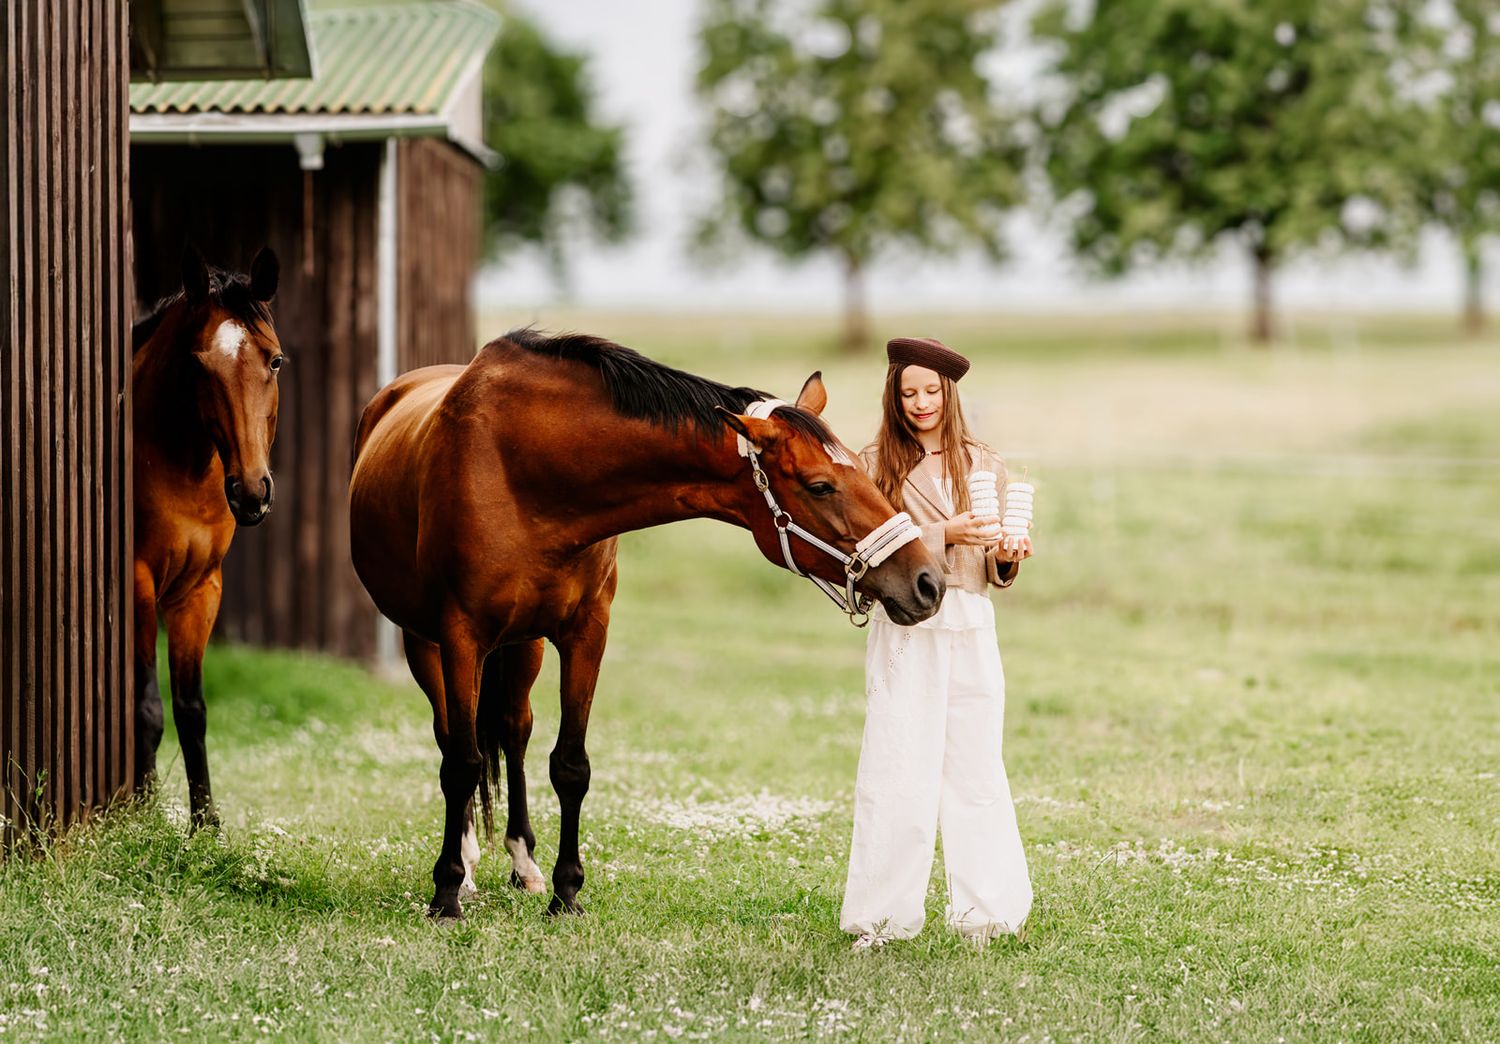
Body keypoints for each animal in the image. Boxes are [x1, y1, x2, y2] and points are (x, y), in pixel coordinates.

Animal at [131, 245, 283, 828]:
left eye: (274, 361)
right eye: (197, 364)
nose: (251, 491)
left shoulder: (200, 591)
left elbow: (191, 709)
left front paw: (206, 824)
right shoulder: (139, 585)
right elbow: (147, 707)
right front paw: (144, 814)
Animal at [348, 328, 945, 919]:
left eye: (865, 472)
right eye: (821, 486)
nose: (928, 582)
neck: (525, 470)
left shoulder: (586, 632)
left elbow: (570, 765)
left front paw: (567, 893)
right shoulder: (460, 635)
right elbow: (463, 763)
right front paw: (447, 891)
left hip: (524, 646)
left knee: (514, 731)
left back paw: (524, 865)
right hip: (427, 644)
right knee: (455, 740)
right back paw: (468, 867)